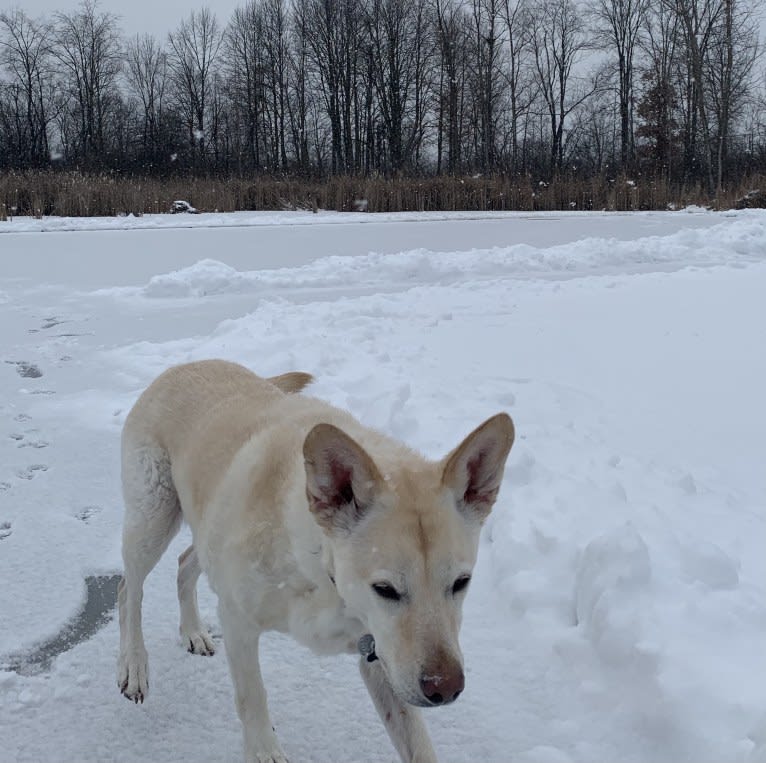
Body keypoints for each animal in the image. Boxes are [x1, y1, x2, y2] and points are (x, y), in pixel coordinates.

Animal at [118, 360, 516, 763]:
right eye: (384, 589)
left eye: (461, 582)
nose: (445, 688)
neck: (322, 573)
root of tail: (190, 363)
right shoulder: (237, 620)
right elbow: (252, 697)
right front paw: (263, 751)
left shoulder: (381, 659)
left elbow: (417, 743)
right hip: (153, 520)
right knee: (127, 590)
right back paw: (134, 665)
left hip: (204, 531)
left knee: (183, 564)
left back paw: (193, 631)